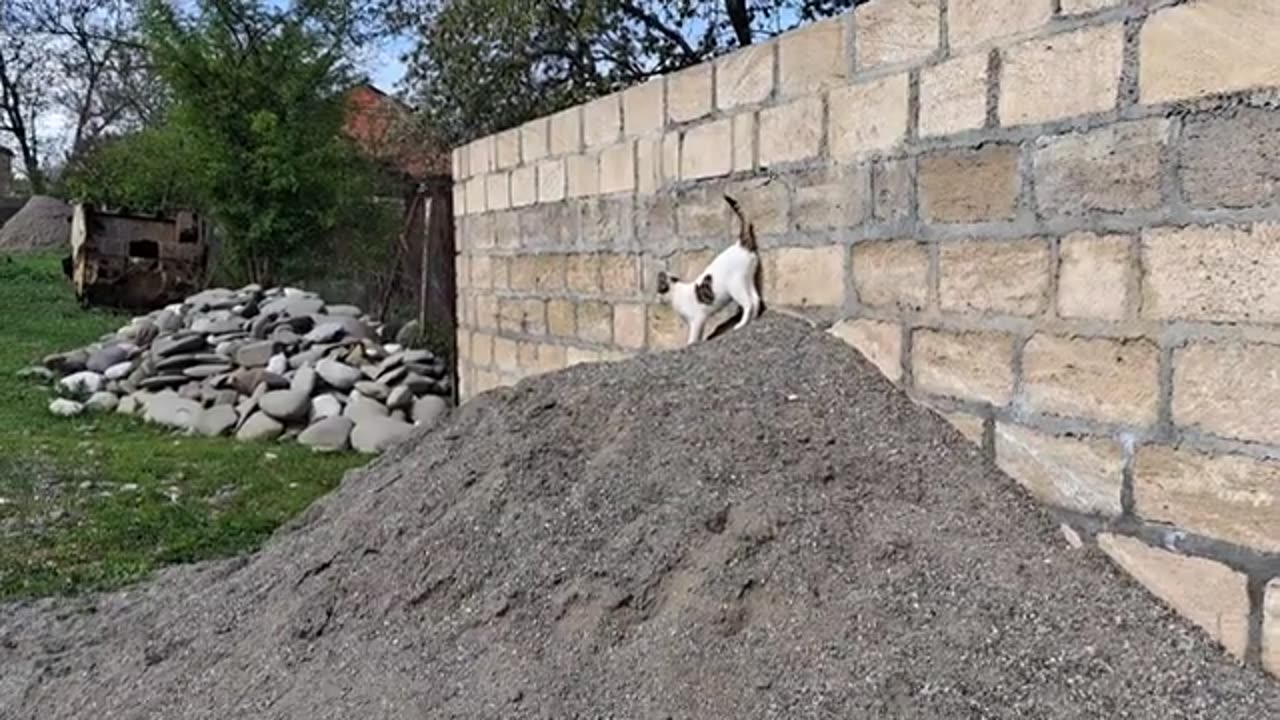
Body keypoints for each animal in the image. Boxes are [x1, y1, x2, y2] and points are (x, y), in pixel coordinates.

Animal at [660, 193, 757, 345]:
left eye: (659, 288)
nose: (658, 299)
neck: (676, 292)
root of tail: (739, 244)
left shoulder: (697, 319)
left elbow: (693, 336)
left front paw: (691, 344)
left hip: (735, 285)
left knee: (749, 303)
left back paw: (741, 324)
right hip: (748, 278)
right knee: (757, 299)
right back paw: (753, 319)